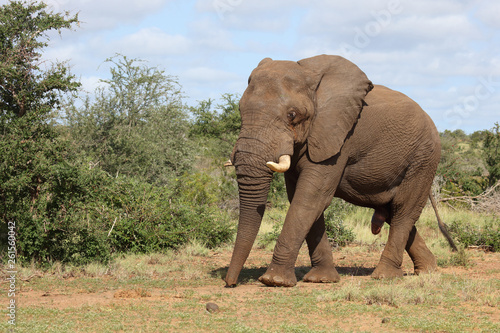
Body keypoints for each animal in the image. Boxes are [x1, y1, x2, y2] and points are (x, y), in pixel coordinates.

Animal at [225, 55, 456, 288]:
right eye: (240, 110)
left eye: (292, 115)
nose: (231, 283)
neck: (309, 75)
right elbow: (302, 198)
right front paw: (321, 279)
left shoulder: (339, 138)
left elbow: (311, 198)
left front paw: (274, 281)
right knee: (393, 211)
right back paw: (427, 270)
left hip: (423, 158)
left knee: (403, 210)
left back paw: (385, 275)